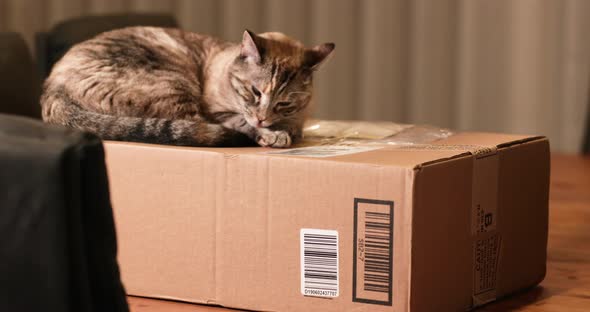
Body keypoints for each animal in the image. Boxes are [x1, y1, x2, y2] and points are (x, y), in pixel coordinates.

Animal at [40, 26, 338, 147]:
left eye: (284, 102)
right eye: (255, 92)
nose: (263, 119)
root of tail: (53, 89)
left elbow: (294, 127)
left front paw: (283, 130)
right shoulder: (218, 113)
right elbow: (241, 122)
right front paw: (273, 135)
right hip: (174, 83)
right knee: (197, 127)